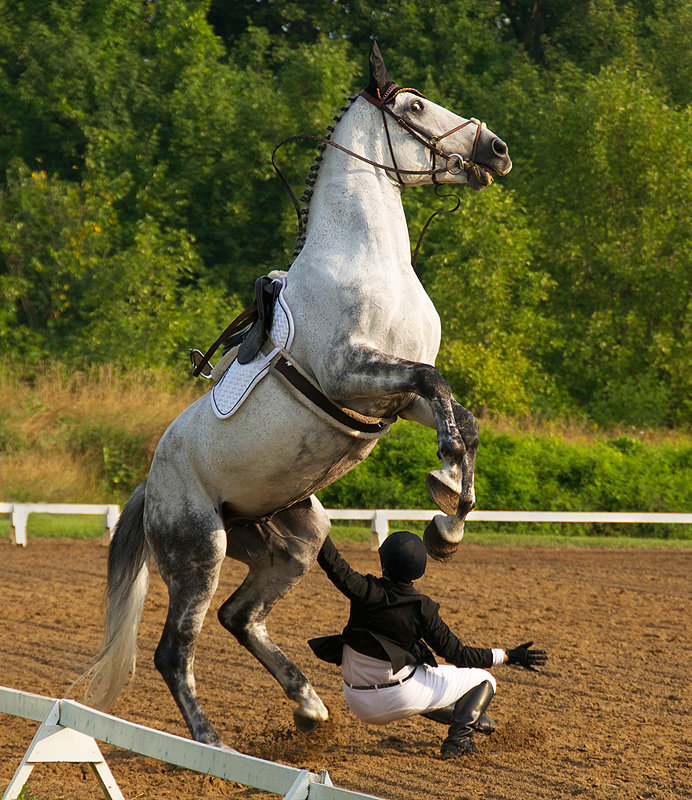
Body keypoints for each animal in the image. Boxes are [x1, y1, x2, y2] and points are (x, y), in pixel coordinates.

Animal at [84, 42, 510, 744]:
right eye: (415, 106)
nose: (497, 150)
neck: (370, 262)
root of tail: (150, 487)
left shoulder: (392, 397)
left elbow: (460, 415)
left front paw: (449, 517)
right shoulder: (353, 374)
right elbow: (438, 384)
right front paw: (446, 485)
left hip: (293, 536)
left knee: (239, 616)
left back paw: (309, 706)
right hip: (201, 549)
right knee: (176, 649)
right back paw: (211, 741)